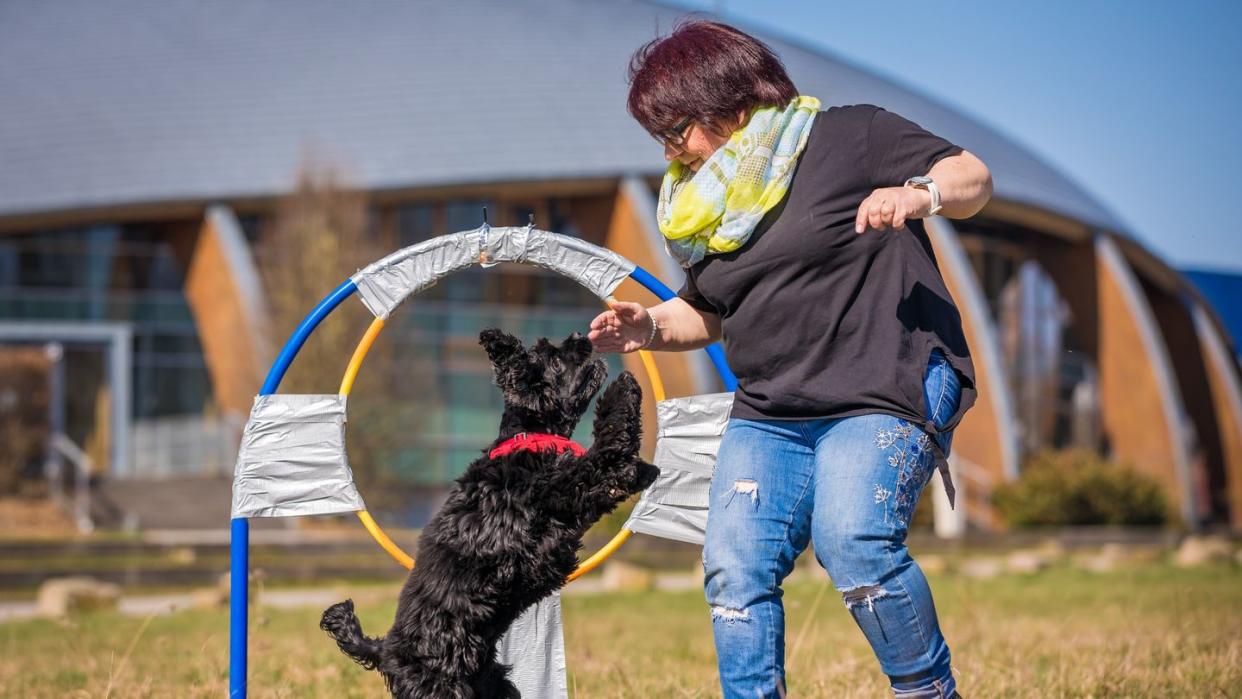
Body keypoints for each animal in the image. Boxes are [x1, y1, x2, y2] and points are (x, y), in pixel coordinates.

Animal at [320, 330, 660, 699]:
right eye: (554, 358)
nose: (582, 337)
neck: (529, 436)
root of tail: (383, 650)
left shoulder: (583, 495)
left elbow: (615, 466)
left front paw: (646, 469)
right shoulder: (565, 489)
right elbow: (604, 449)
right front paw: (623, 389)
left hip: (492, 684)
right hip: (442, 686)